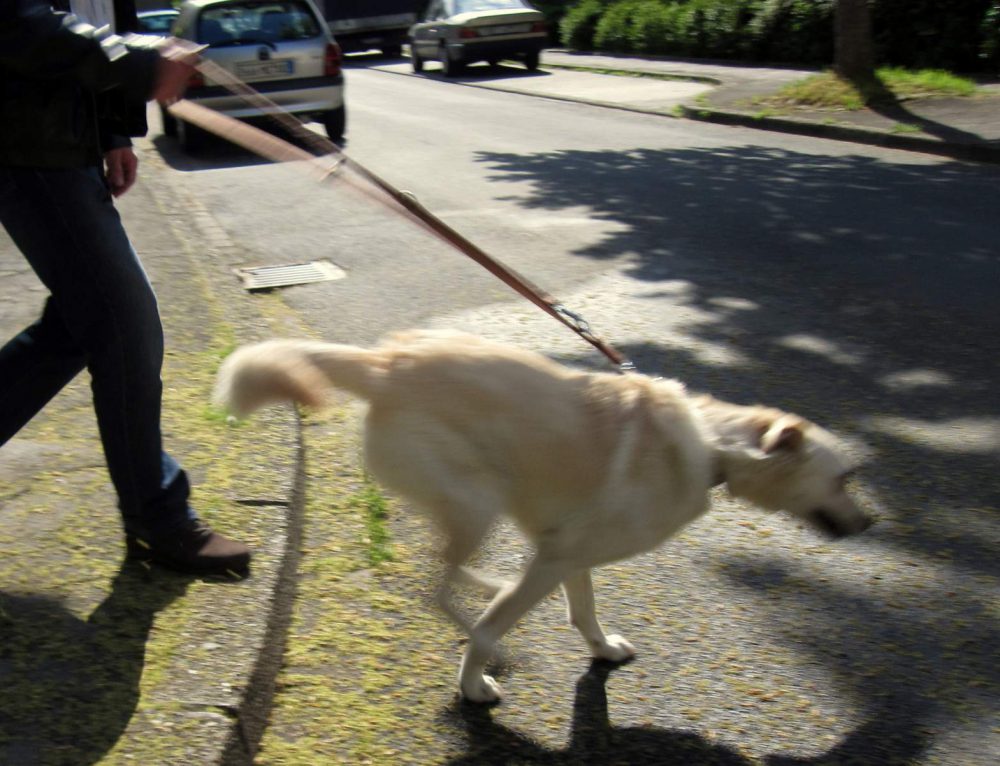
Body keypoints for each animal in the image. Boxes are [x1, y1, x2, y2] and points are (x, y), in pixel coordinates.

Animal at [215, 328, 872, 704]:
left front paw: (602, 650)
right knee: (438, 588)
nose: (871, 526)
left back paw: (489, 583)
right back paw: (487, 619)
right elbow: (491, 629)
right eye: (845, 477)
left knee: (447, 571)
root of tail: (387, 363)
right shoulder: (558, 557)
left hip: (478, 508)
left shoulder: (568, 553)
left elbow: (583, 612)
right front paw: (473, 684)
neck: (715, 445)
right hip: (477, 503)